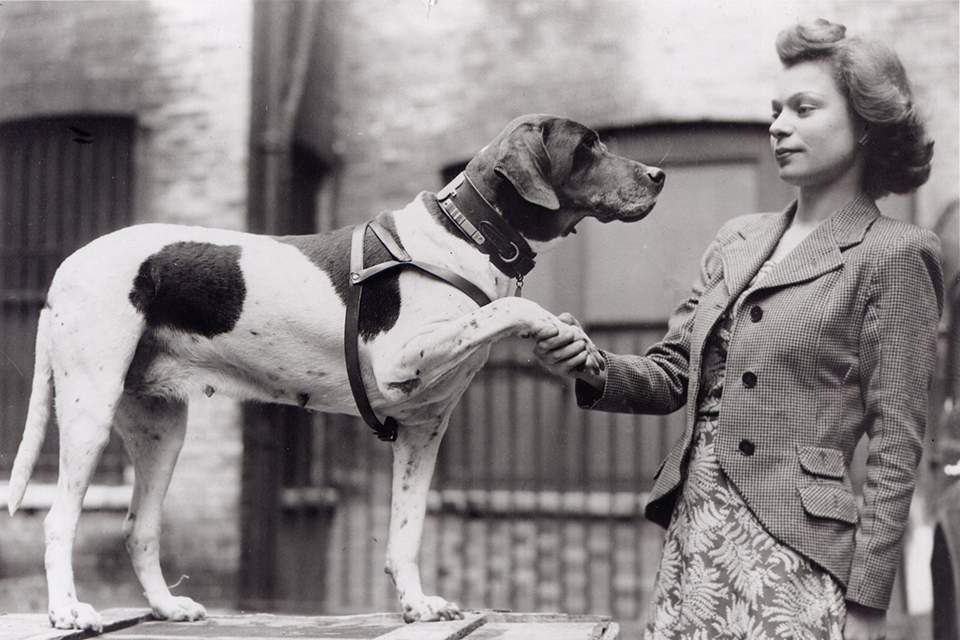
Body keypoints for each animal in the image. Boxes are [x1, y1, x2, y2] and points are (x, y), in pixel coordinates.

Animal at [7, 114, 664, 632]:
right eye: (587, 147)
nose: (659, 175)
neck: (465, 234)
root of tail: (65, 269)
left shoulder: (423, 431)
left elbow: (406, 529)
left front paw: (417, 606)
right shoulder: (403, 359)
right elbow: (507, 310)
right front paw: (554, 327)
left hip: (161, 432)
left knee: (138, 529)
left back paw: (167, 608)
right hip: (88, 414)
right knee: (60, 521)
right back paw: (67, 611)